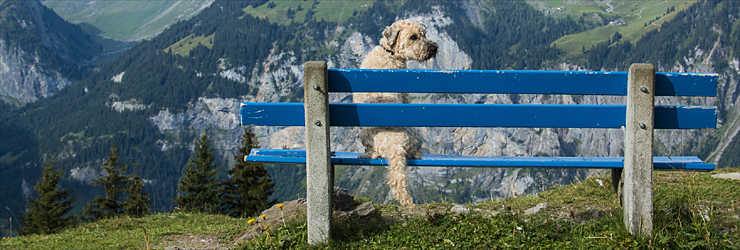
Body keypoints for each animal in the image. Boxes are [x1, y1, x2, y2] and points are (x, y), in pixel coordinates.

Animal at [354, 19, 436, 208]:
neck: (389, 52)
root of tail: (393, 143)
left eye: (424, 34)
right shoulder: (404, 95)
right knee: (413, 152)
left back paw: (365, 153)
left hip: (364, 134)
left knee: (373, 152)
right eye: (413, 37)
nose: (434, 48)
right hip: (417, 132)